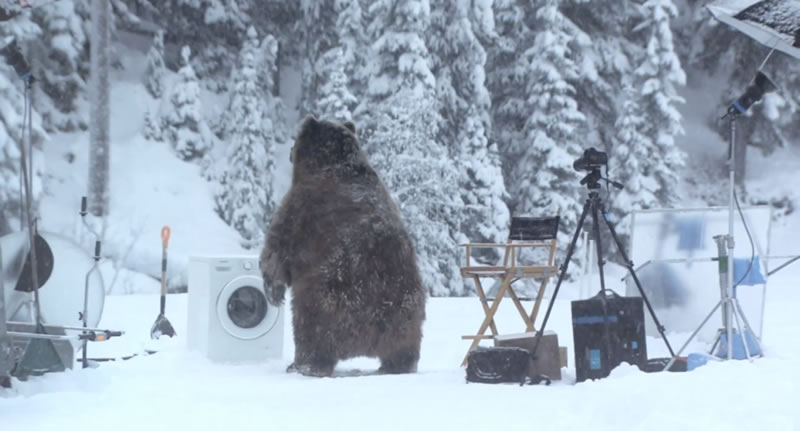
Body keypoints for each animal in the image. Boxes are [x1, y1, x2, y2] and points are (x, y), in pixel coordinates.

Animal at [259, 115, 427, 377]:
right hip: (406, 309)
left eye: (295, 141)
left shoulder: (298, 207)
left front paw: (273, 291)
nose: (289, 150)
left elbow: (276, 248)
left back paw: (303, 365)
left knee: (310, 332)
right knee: (404, 345)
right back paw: (397, 365)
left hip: (326, 302)